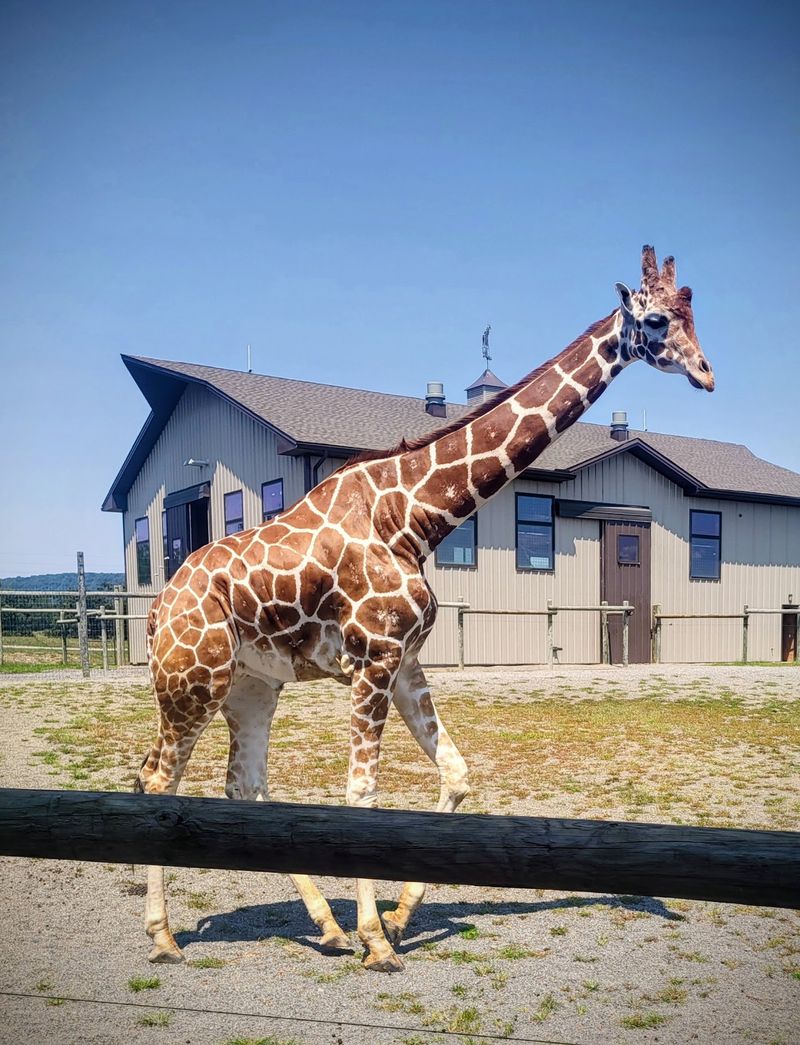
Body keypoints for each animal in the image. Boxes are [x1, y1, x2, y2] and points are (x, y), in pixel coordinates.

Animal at [137, 246, 713, 972]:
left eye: (696, 312)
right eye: (658, 319)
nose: (706, 373)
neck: (414, 516)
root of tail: (159, 608)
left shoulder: (406, 662)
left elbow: (458, 774)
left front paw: (395, 915)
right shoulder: (372, 661)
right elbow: (362, 794)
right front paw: (378, 940)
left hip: (252, 684)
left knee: (243, 785)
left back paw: (324, 926)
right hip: (193, 682)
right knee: (158, 780)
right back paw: (163, 935)